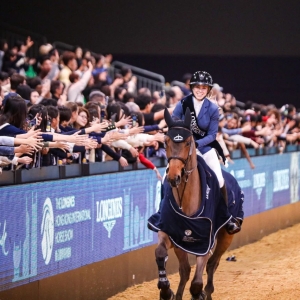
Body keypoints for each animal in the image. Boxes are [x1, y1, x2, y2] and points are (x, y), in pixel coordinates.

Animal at [146, 108, 240, 300]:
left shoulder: (206, 241)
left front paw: (199, 294)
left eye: (188, 142)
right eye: (165, 141)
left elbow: (197, 283)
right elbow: (160, 254)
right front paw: (166, 290)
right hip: (181, 245)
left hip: (226, 236)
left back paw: (208, 292)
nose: (174, 177)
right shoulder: (170, 231)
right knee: (185, 270)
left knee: (212, 264)